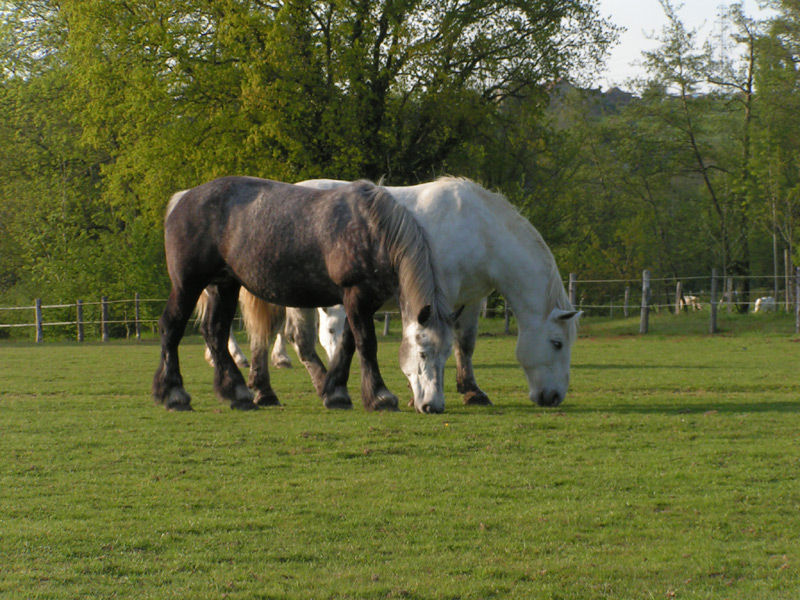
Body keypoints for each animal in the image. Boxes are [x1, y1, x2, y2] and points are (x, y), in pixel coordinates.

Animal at [153, 177, 454, 412]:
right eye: (423, 352)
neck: (372, 230)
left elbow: (348, 344)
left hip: (224, 285)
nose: (433, 406)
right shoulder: (356, 296)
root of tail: (184, 198)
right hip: (188, 284)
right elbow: (366, 343)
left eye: (447, 354)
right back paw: (175, 395)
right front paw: (380, 397)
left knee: (214, 331)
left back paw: (238, 394)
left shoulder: (363, 302)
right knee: (171, 327)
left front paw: (336, 393)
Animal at [225, 178, 580, 410]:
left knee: (268, 335)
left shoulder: (471, 299)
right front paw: (418, 391)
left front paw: (471, 391)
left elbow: (465, 344)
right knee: (297, 340)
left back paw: (270, 388)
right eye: (557, 343)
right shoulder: (441, 293)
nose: (554, 397)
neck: (479, 229)